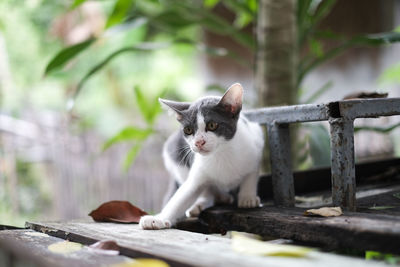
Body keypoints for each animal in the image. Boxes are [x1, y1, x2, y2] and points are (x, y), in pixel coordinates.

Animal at [139, 84, 264, 230]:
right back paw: (204, 202)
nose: (199, 142)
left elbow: (251, 175)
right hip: (173, 152)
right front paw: (159, 218)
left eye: (212, 125)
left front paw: (248, 197)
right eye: (188, 130)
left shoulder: (255, 141)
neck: (222, 153)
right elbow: (182, 196)